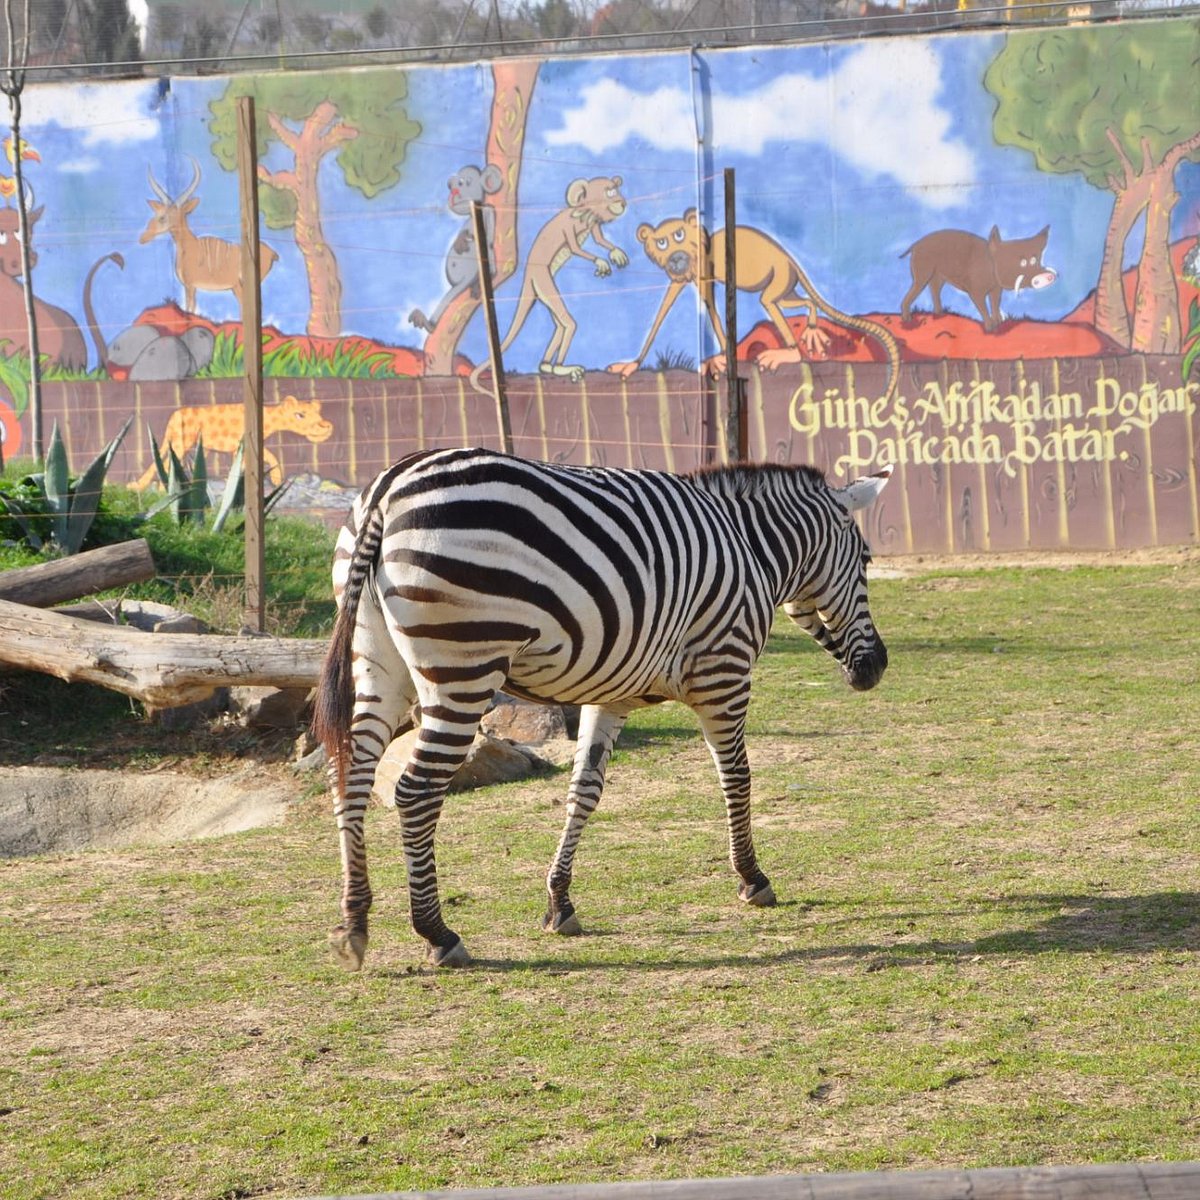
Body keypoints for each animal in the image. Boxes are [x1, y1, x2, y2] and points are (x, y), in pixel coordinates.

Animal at [141, 157, 277, 312]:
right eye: (157, 214)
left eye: (162, 218)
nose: (142, 238)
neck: (190, 246)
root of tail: (272, 253)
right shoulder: (189, 287)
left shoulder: (191, 286)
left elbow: (190, 309)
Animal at [309, 446, 892, 969]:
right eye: (866, 562)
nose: (878, 667)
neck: (752, 547)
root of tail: (389, 488)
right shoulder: (723, 674)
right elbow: (737, 777)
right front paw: (752, 879)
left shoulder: (611, 692)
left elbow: (584, 791)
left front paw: (559, 902)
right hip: (463, 668)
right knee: (415, 791)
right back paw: (437, 933)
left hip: (377, 662)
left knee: (351, 775)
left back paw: (353, 924)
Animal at [410, 163, 504, 333]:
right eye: (451, 185)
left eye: (465, 182)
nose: (454, 192)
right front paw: (461, 240)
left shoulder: (489, 212)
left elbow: (488, 241)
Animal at [609, 204, 902, 396]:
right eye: (661, 243)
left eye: (679, 235)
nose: (675, 257)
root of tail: (791, 261)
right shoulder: (682, 278)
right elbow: (662, 313)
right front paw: (631, 365)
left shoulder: (704, 272)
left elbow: (713, 311)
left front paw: (722, 360)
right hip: (786, 289)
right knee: (805, 302)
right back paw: (811, 329)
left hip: (778, 282)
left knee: (772, 305)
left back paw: (789, 352)